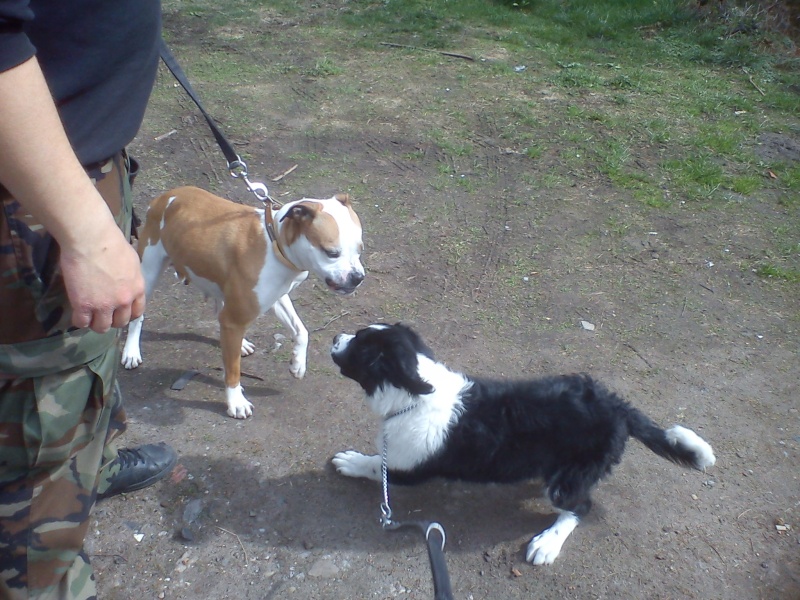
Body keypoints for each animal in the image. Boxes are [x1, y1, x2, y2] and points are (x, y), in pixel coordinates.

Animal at [122, 186, 366, 418]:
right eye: (331, 253)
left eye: (360, 249)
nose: (358, 277)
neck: (275, 242)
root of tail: (165, 197)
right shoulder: (237, 319)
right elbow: (232, 370)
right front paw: (236, 402)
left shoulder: (276, 297)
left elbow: (301, 331)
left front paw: (298, 363)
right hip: (148, 273)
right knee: (137, 316)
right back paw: (131, 351)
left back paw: (241, 344)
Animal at [328, 324, 716, 564]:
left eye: (358, 345)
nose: (334, 336)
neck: (413, 396)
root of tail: (615, 405)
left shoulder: (407, 467)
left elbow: (374, 464)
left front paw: (349, 461)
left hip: (569, 478)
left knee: (579, 506)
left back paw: (547, 544)